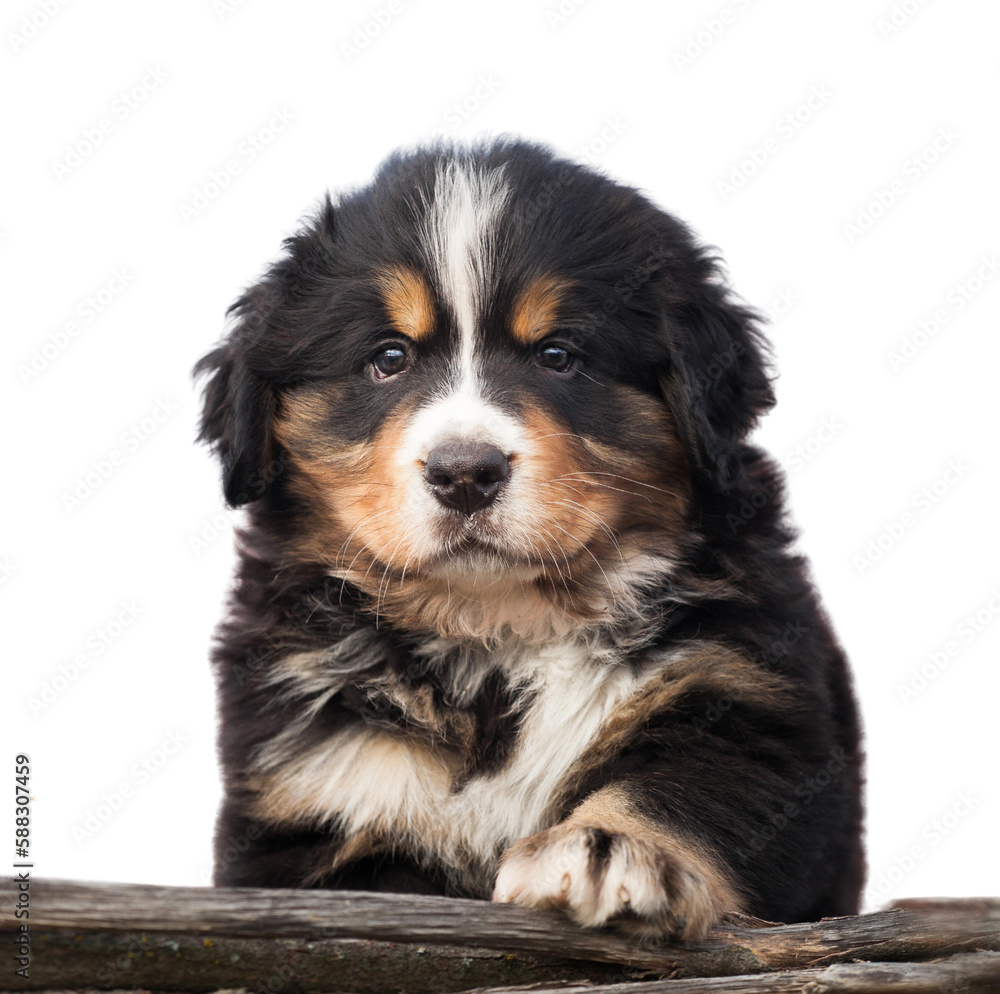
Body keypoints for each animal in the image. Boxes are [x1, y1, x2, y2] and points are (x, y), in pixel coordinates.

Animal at [193, 140, 860, 936]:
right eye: (388, 358)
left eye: (558, 355)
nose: (465, 473)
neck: (501, 629)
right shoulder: (313, 787)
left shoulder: (742, 691)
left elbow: (686, 785)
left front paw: (608, 847)